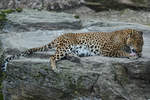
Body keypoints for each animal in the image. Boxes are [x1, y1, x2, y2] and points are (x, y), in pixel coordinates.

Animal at [1, 28, 144, 72]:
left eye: (142, 44)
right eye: (137, 43)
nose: (140, 51)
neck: (124, 38)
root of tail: (60, 35)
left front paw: (135, 54)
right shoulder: (107, 50)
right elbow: (121, 52)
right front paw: (132, 55)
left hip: (72, 49)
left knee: (68, 55)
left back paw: (76, 58)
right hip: (65, 47)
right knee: (52, 57)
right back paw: (55, 68)